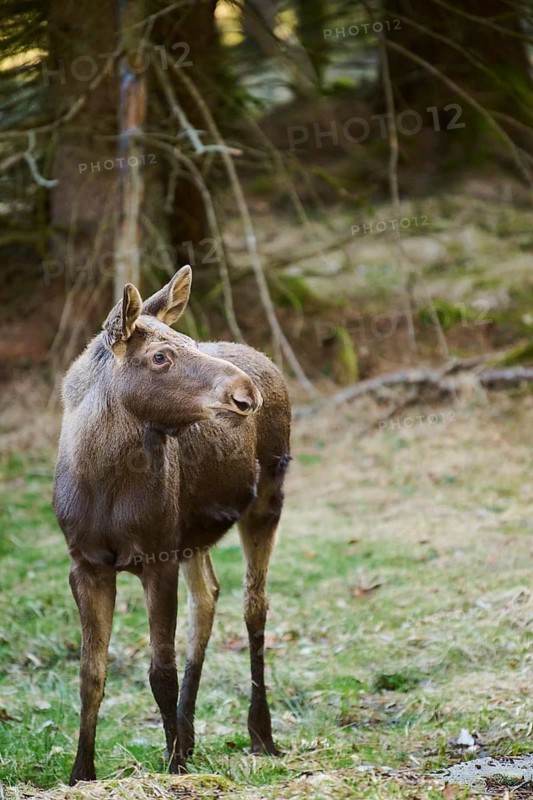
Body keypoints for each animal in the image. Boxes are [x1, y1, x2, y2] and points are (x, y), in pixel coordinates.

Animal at [53, 266, 291, 785]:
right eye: (160, 355)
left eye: (189, 341)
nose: (246, 394)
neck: (105, 488)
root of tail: (267, 361)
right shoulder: (84, 563)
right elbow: (90, 674)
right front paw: (82, 771)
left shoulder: (157, 557)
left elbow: (160, 670)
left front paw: (176, 766)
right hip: (192, 535)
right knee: (208, 597)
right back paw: (188, 732)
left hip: (267, 500)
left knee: (254, 603)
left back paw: (260, 733)